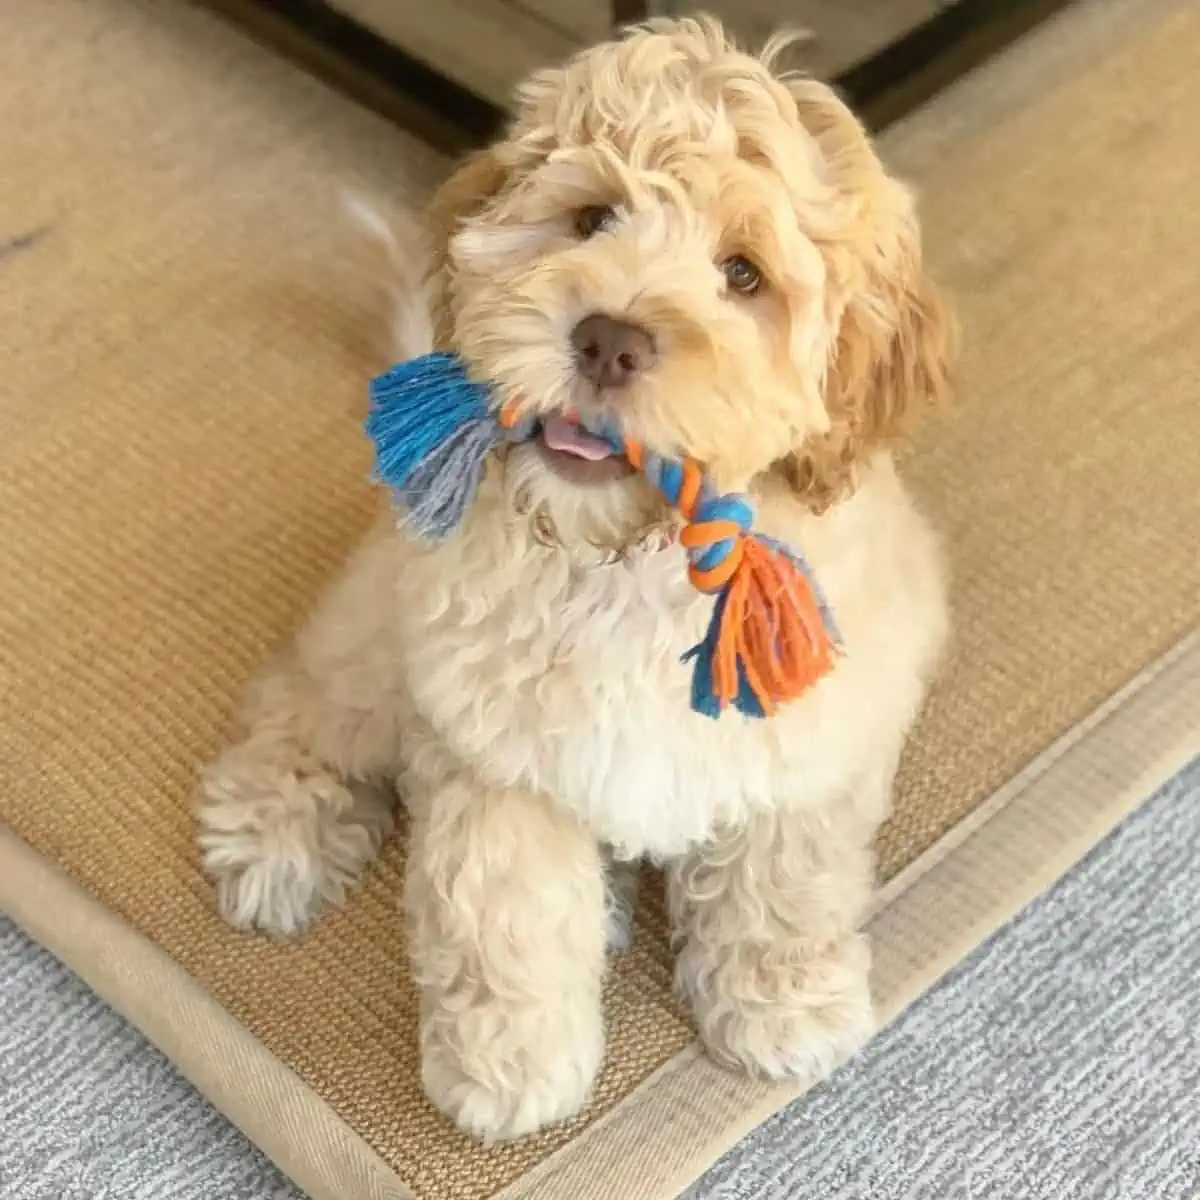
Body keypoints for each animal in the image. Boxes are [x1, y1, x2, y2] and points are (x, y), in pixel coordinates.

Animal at [196, 18, 955, 1142]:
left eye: (743, 275)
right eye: (592, 218)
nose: (607, 337)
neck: (631, 561)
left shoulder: (812, 733)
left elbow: (787, 872)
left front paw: (783, 1005)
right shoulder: (492, 748)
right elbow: (506, 907)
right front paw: (511, 1066)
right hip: (379, 631)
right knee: (307, 706)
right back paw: (272, 833)